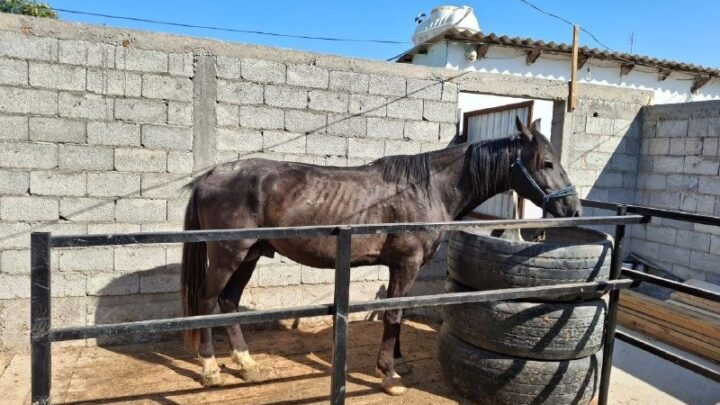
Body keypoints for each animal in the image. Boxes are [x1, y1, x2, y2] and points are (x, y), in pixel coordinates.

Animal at [180, 117, 580, 394]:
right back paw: (210, 369)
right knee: (207, 300)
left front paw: (398, 362)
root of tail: (210, 177)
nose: (573, 208)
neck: (427, 188)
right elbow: (394, 313)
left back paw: (245, 363)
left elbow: (395, 311)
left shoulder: (399, 267)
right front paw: (389, 375)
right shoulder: (406, 264)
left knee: (228, 302)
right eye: (546, 163)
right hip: (229, 255)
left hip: (249, 256)